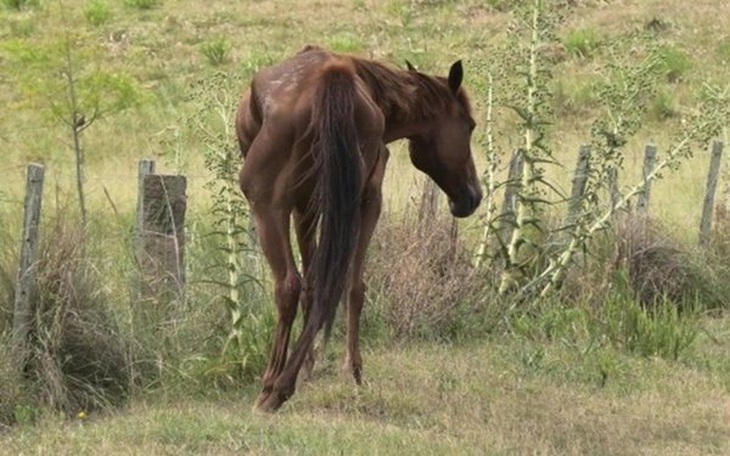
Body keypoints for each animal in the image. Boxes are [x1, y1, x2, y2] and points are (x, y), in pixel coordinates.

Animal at [236, 46, 480, 414]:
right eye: (470, 125)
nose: (472, 196)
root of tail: (331, 79)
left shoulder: (307, 206)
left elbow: (315, 284)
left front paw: (316, 368)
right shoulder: (359, 201)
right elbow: (345, 285)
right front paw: (347, 371)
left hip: (270, 207)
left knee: (289, 285)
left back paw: (273, 388)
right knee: (330, 284)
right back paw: (285, 384)